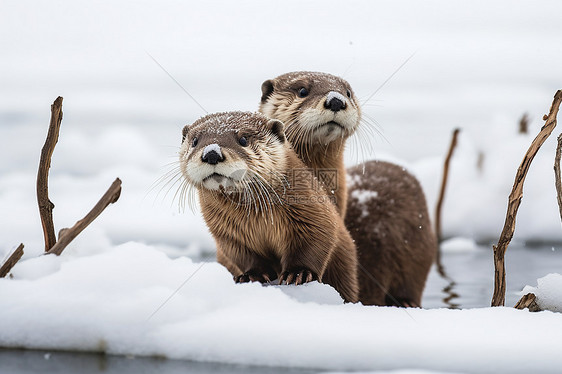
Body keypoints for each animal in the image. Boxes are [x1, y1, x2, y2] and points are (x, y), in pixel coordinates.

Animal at [177, 109, 356, 302]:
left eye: (243, 139)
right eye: (195, 141)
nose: (211, 153)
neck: (260, 220)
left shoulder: (314, 214)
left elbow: (315, 242)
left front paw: (298, 273)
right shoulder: (228, 233)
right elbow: (244, 256)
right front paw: (251, 275)